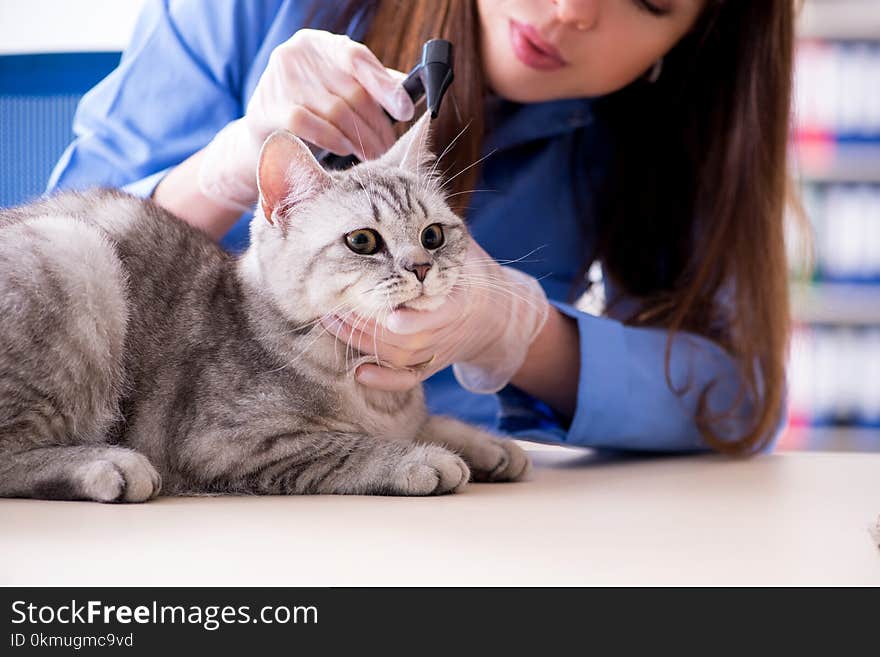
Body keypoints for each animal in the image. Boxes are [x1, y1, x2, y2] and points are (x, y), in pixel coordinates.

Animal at [0, 114, 528, 502]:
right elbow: (347, 447)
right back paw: (104, 463)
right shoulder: (227, 442)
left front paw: (488, 444)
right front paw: (418, 456)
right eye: (363, 241)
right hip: (75, 252)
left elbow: (430, 422)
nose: (420, 266)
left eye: (433, 236)